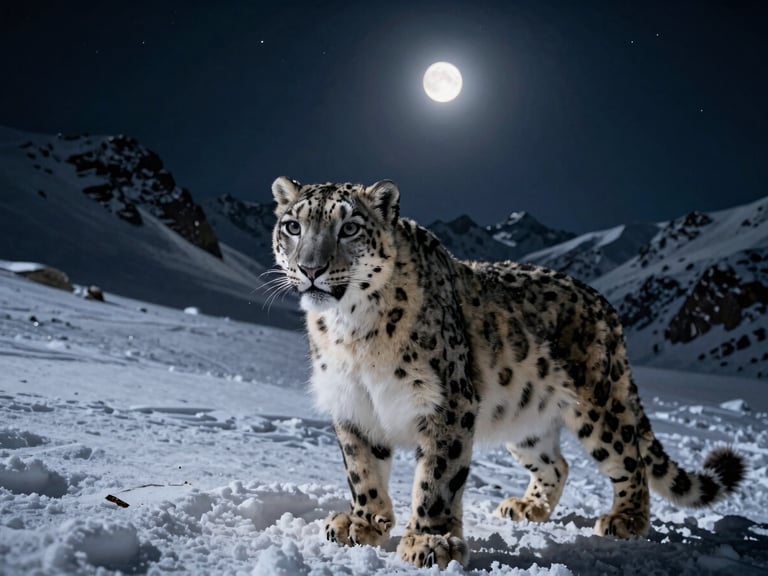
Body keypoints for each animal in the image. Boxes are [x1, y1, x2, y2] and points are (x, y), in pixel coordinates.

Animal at [270, 176, 745, 569]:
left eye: (349, 228)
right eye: (293, 227)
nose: (310, 268)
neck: (352, 333)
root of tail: (606, 309)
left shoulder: (447, 403)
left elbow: (437, 478)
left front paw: (429, 541)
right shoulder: (352, 403)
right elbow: (362, 469)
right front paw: (363, 523)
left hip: (599, 405)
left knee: (630, 459)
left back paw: (624, 519)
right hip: (526, 418)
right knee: (557, 463)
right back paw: (528, 507)